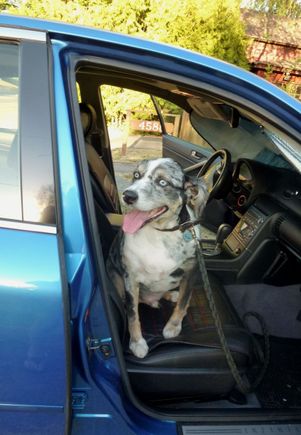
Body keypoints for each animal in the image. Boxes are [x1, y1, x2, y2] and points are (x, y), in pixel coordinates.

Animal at [106, 158, 210, 360]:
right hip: (116, 278)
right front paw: (137, 343)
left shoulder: (192, 271)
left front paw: (173, 326)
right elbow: (132, 314)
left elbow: (183, 302)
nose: (128, 195)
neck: (160, 233)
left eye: (163, 182)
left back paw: (171, 294)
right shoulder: (130, 277)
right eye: (136, 175)